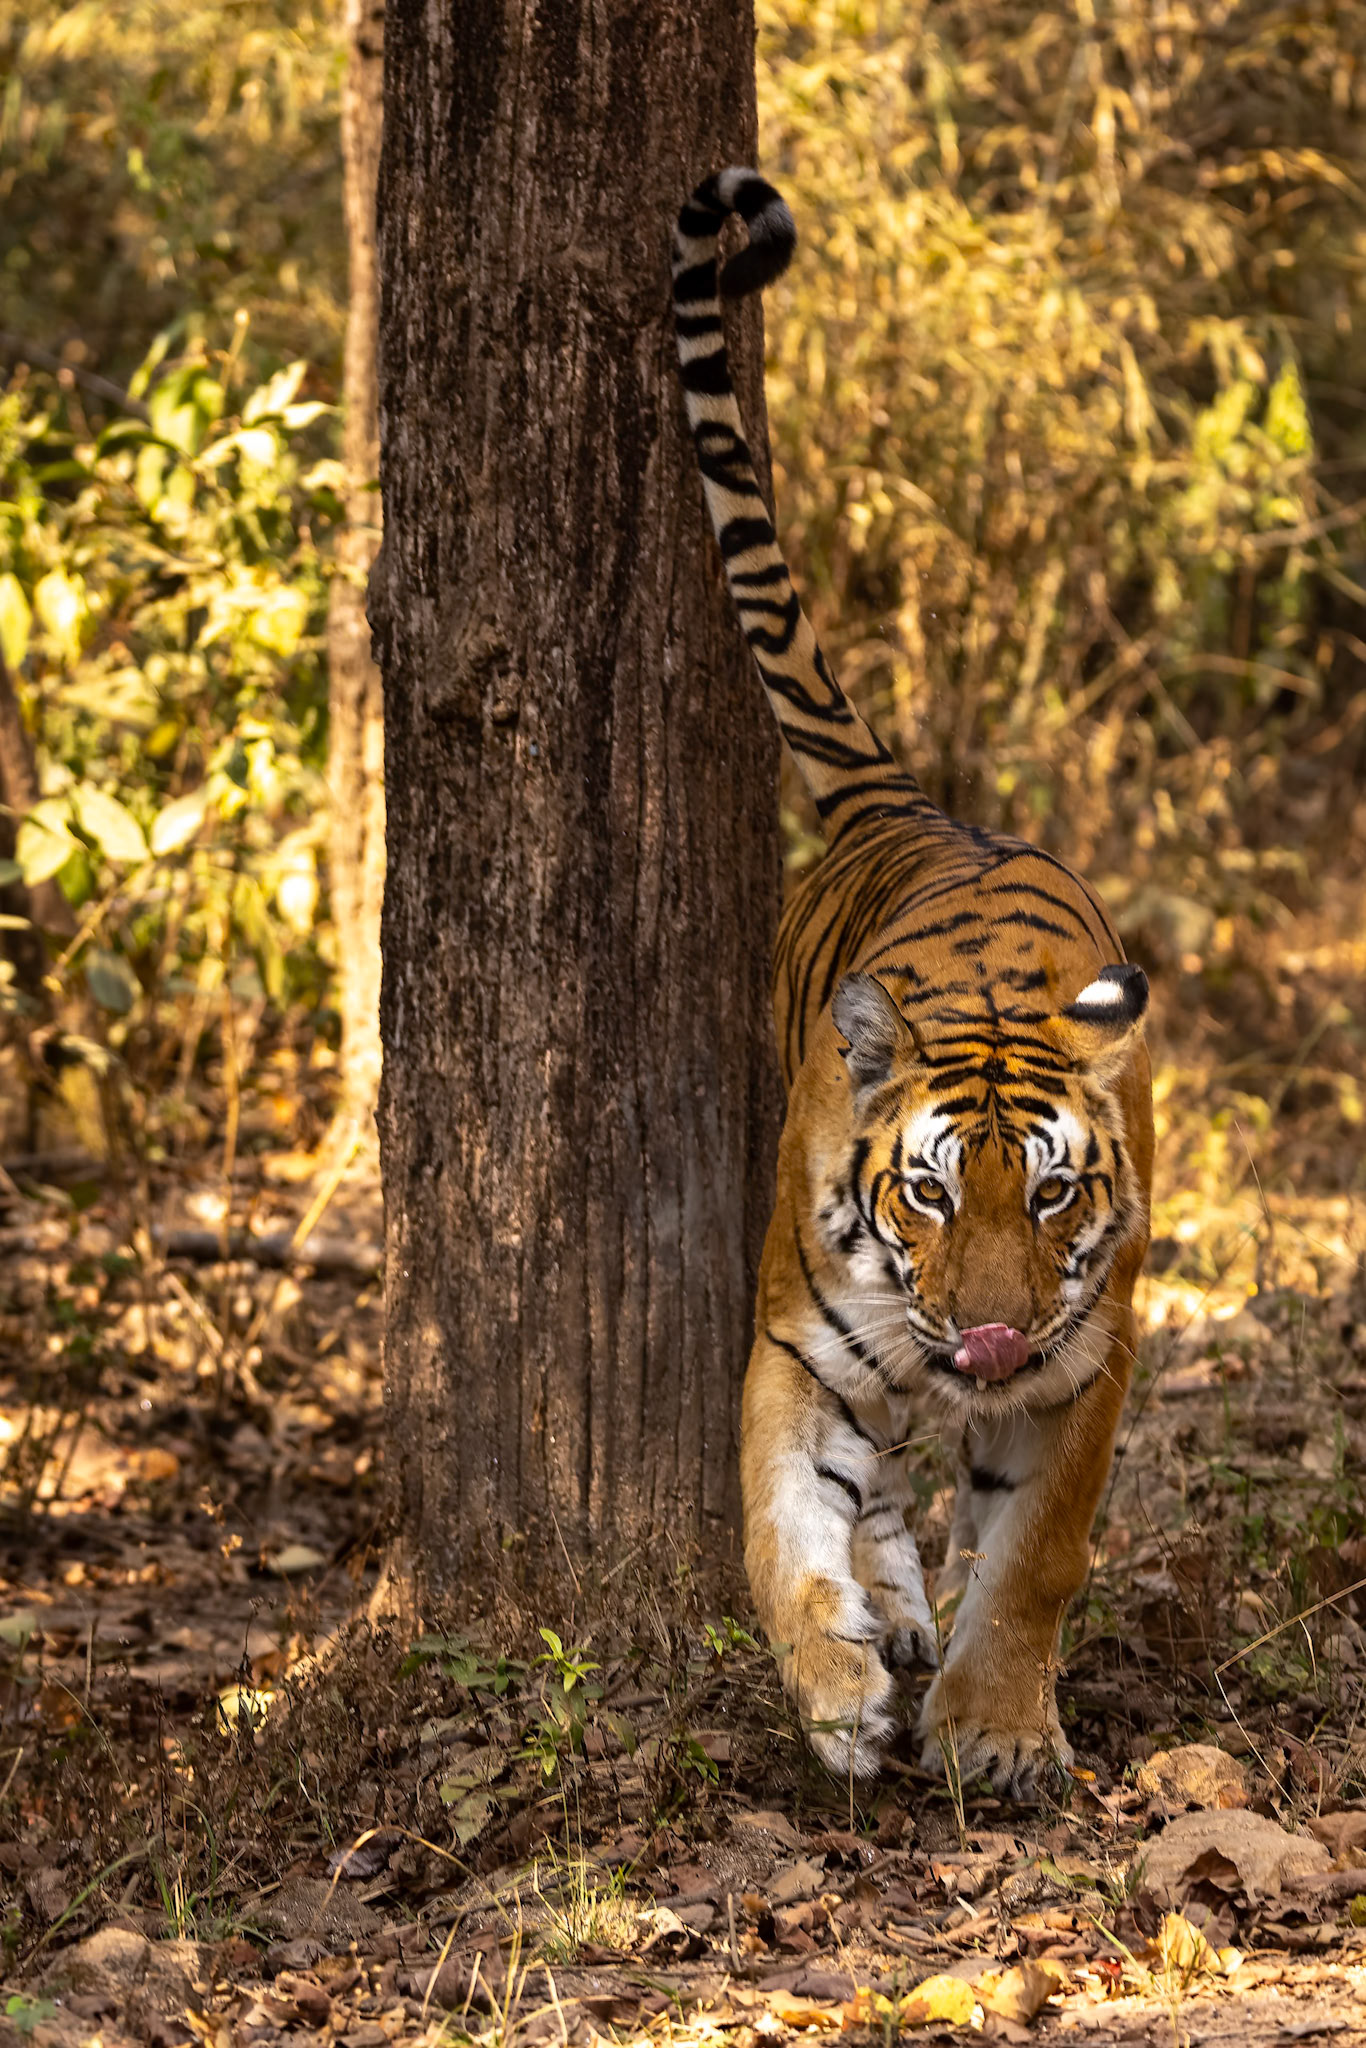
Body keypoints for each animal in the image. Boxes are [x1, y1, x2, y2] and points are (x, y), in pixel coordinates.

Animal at [672, 168, 1154, 1798]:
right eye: (930, 1192)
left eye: (1052, 1193)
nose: (991, 1334)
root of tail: (918, 807)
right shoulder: (796, 1351)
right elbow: (779, 1527)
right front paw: (835, 1696)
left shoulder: (1083, 1372)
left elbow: (1033, 1558)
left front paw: (992, 1727)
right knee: (874, 1491)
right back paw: (876, 1622)